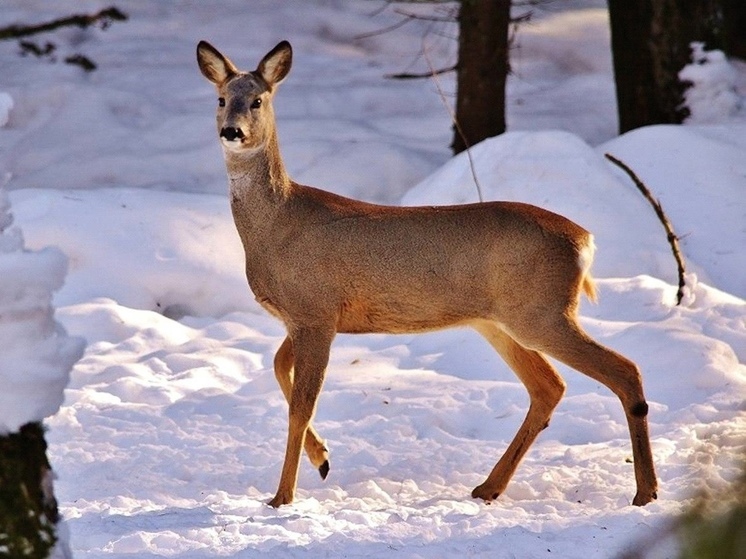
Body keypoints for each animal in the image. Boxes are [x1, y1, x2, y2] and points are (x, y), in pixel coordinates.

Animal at [196, 41, 656, 510]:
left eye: (258, 100)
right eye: (221, 99)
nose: (232, 131)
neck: (277, 224)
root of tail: (585, 239)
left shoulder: (316, 312)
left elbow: (301, 405)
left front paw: (282, 497)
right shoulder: (307, 318)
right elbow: (277, 369)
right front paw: (322, 459)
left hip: (542, 311)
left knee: (624, 369)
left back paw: (645, 491)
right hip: (499, 321)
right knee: (549, 387)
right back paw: (488, 487)